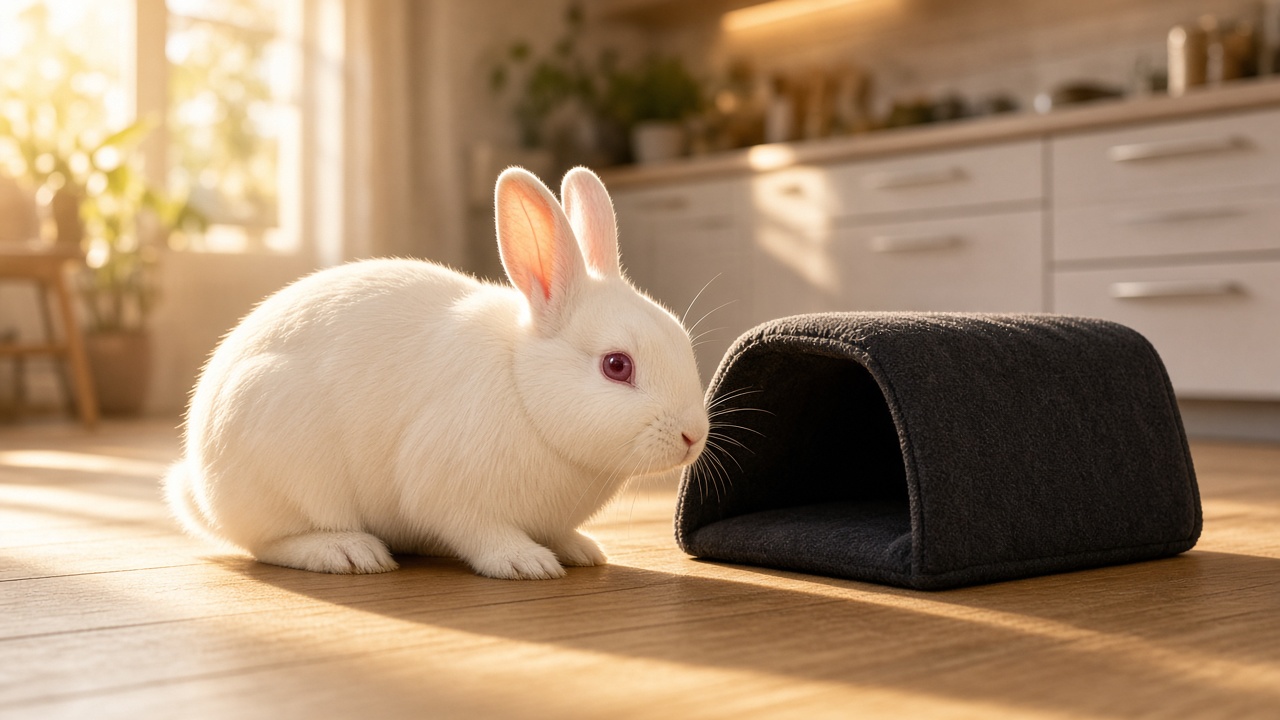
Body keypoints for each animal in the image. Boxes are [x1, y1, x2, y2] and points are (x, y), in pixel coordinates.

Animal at [164, 166, 709, 579]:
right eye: (617, 366)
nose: (693, 436)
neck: (524, 387)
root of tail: (199, 488)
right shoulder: (448, 492)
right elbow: (480, 532)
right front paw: (526, 563)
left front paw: (581, 549)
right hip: (285, 466)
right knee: (269, 541)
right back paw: (347, 552)